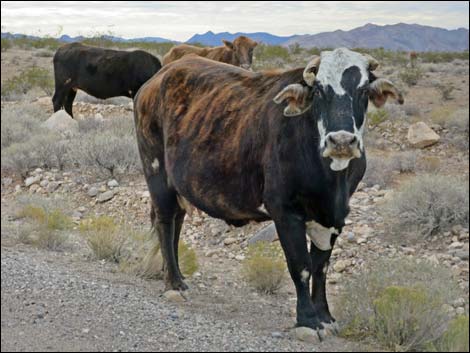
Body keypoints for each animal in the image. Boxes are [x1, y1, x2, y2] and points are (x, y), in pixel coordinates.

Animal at [133, 48, 404, 336]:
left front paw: (325, 316)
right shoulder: (285, 211)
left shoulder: (334, 216)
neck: (331, 180)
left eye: (363, 90)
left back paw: (176, 276)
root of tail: (159, 77)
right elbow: (301, 266)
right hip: (156, 174)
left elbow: (321, 266)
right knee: (165, 222)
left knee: (176, 222)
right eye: (319, 90)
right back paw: (173, 283)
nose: (341, 141)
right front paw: (307, 320)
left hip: (179, 186)